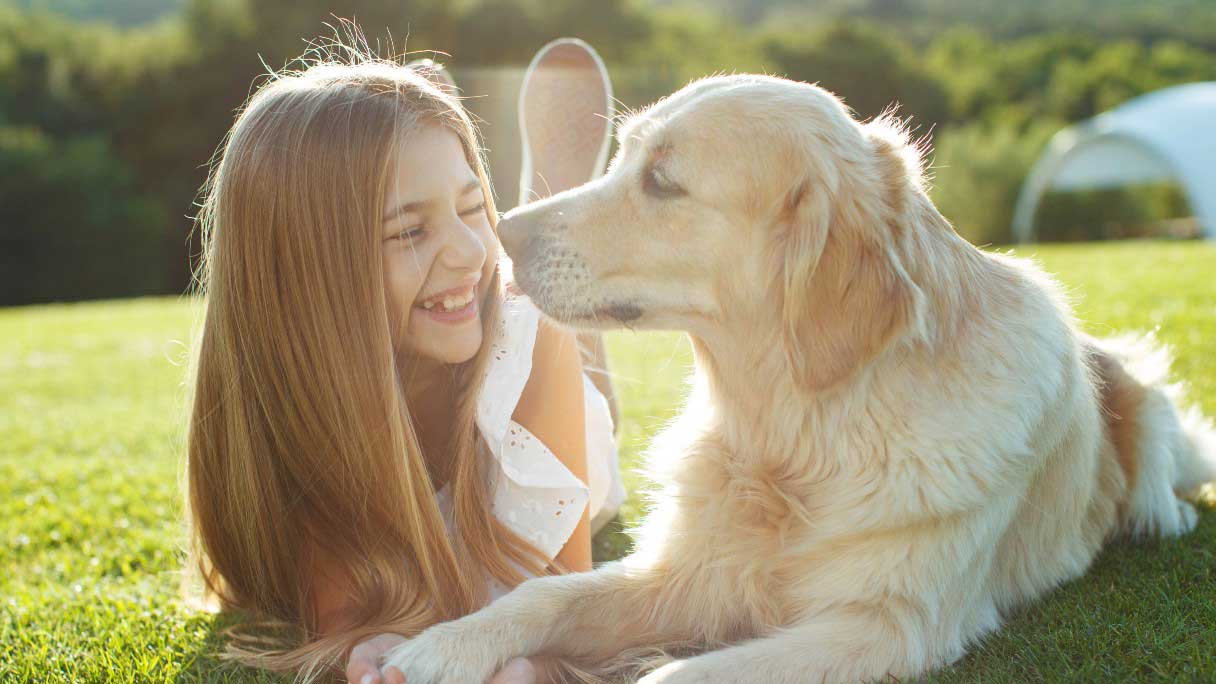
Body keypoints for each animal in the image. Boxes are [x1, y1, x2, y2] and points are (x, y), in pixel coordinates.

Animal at [381, 73, 1216, 681]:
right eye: (624, 158)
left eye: (663, 180)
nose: (500, 233)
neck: (798, 433)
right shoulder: (690, 573)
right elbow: (546, 592)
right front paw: (441, 647)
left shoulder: (885, 624)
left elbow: (678, 674)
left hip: (1144, 398)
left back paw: (1161, 514)